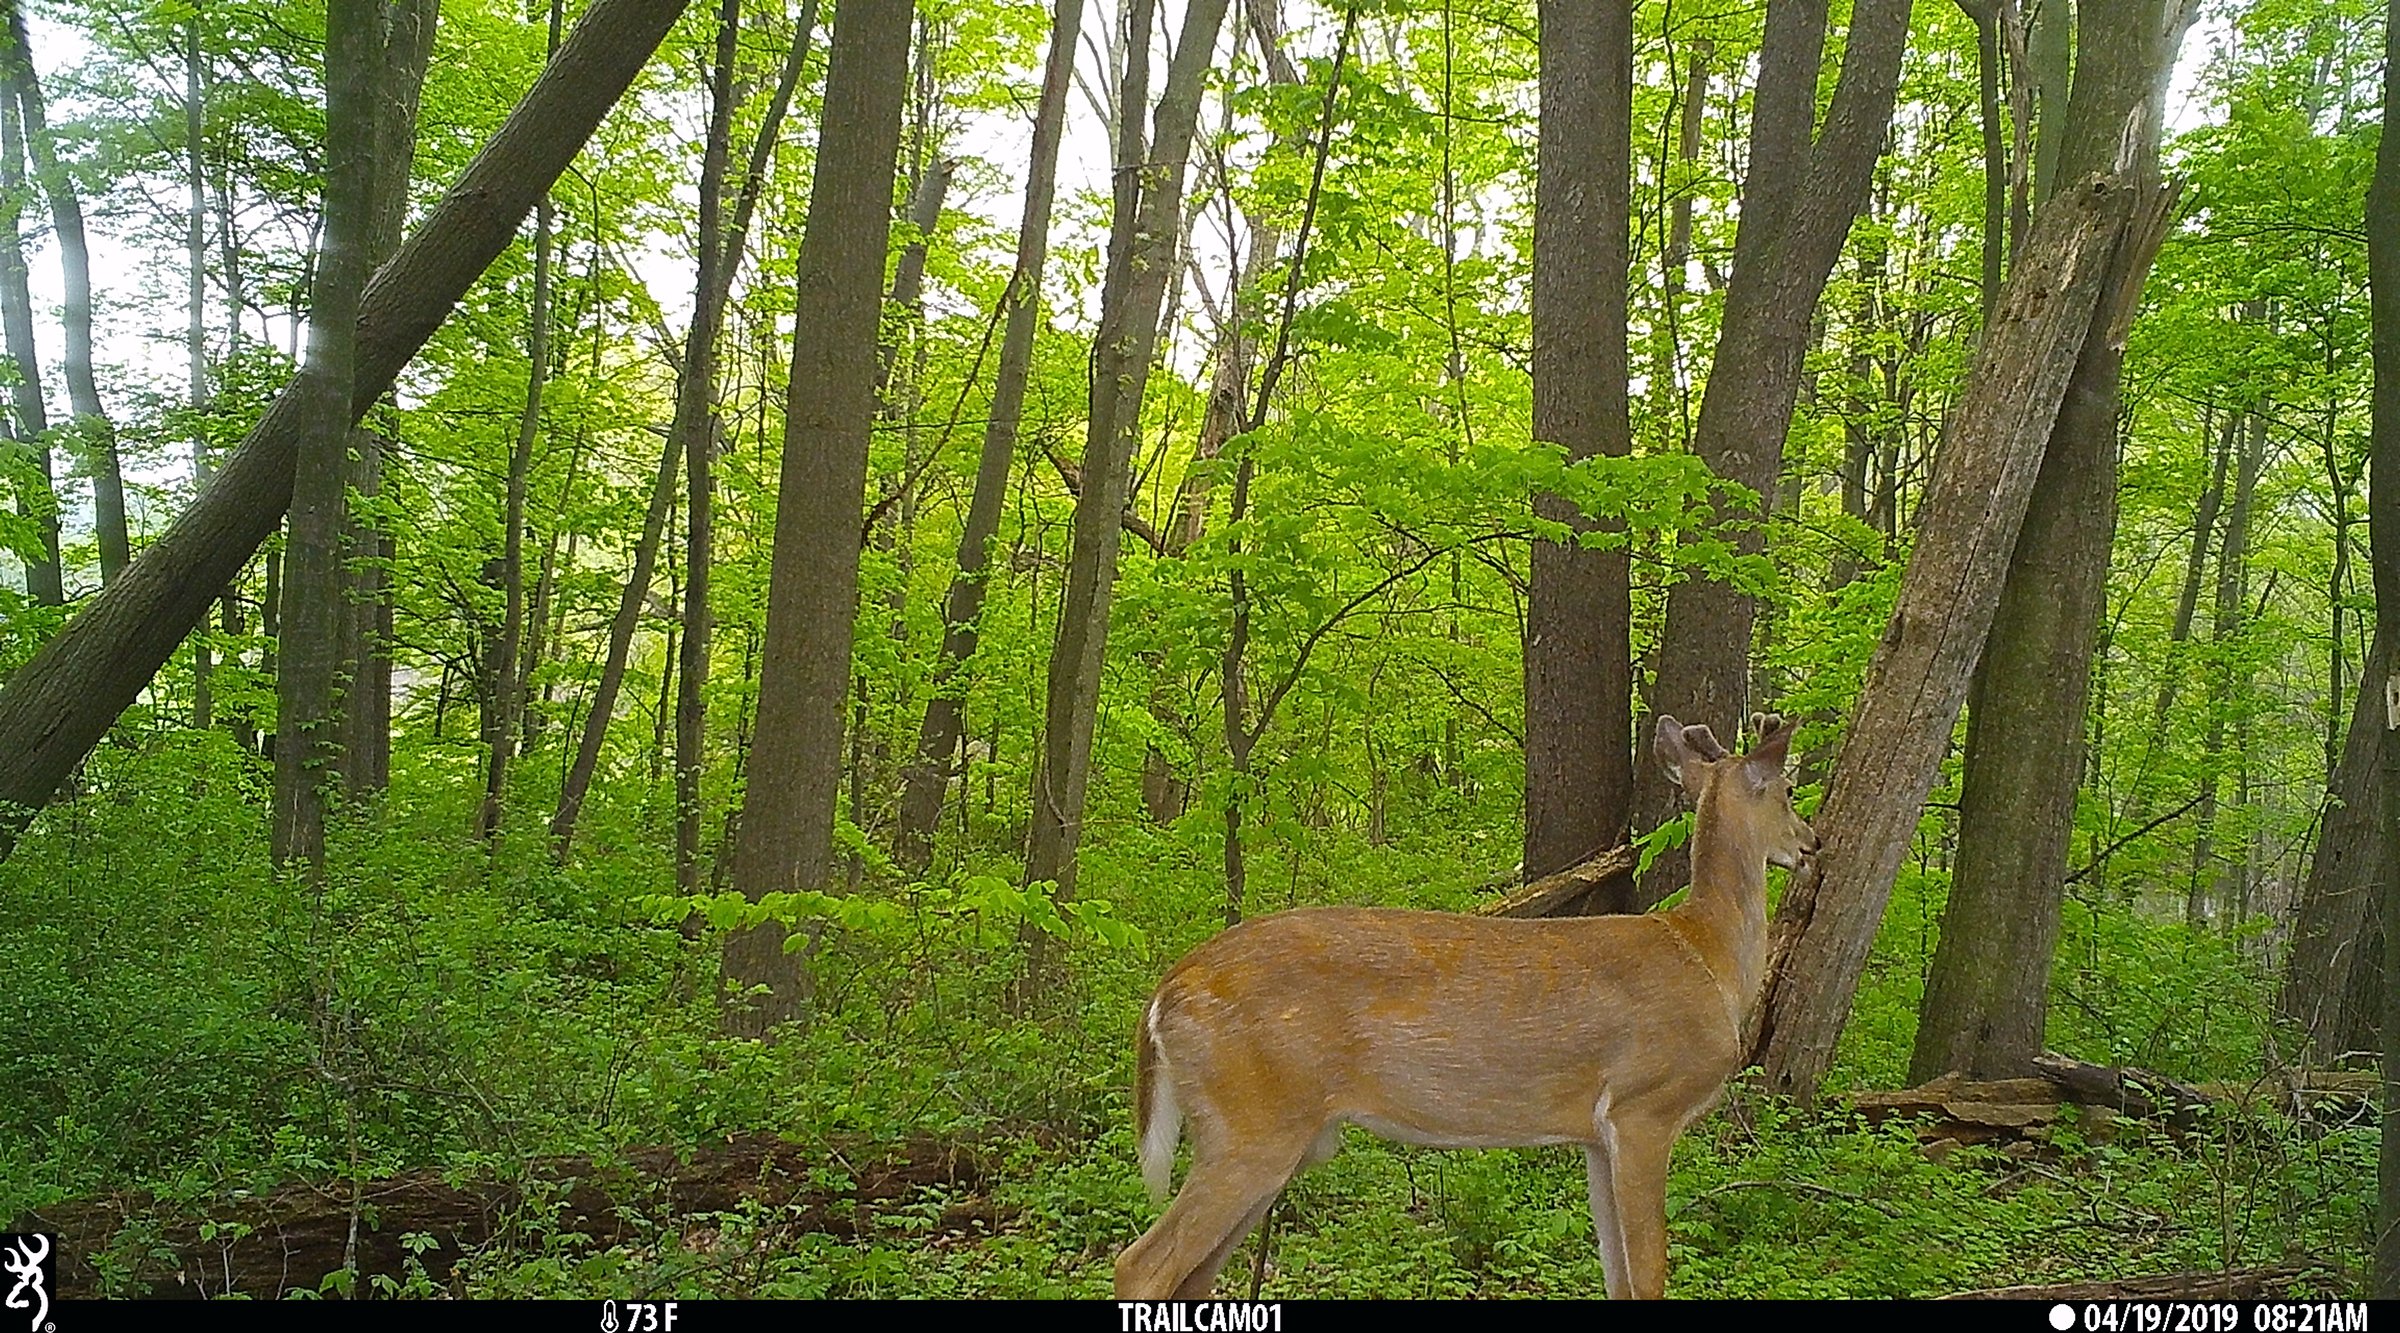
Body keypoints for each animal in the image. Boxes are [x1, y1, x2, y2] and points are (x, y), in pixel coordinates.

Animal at [1114, 713, 1819, 1300]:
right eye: (1787, 793)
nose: (1811, 843)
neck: (1708, 956)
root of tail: (1164, 992)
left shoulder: (1598, 1134)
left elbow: (1618, 1276)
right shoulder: (1646, 1106)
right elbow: (1649, 1277)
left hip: (1272, 1136)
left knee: (1190, 1276)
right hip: (1250, 1124)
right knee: (1141, 1265)